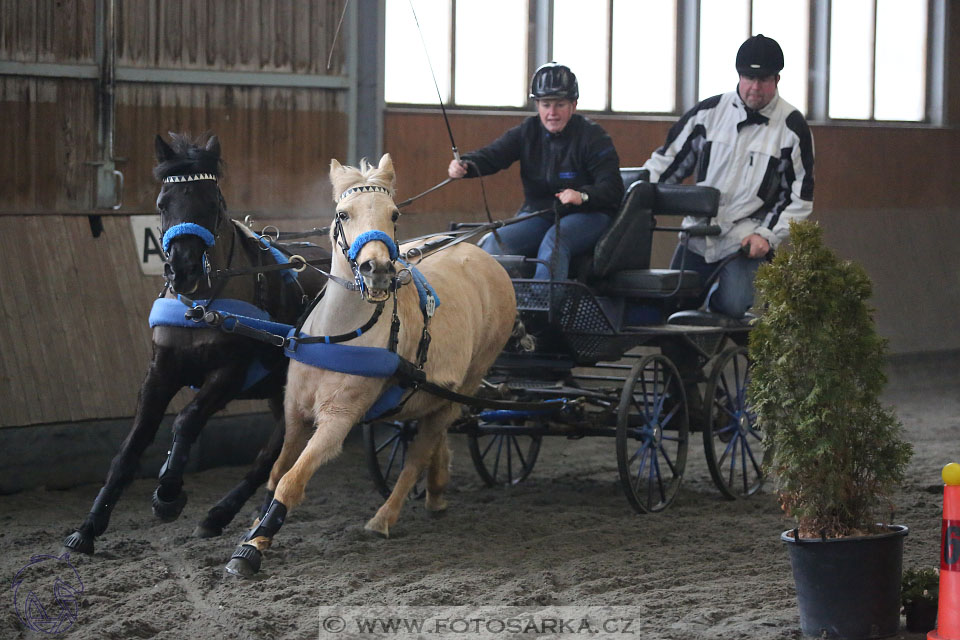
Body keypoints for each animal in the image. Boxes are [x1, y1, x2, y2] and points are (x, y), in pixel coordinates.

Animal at [63, 132, 328, 552]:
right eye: (162, 203)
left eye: (212, 203)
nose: (182, 268)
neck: (204, 303)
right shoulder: (160, 371)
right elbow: (132, 444)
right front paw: (89, 526)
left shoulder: (230, 373)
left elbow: (187, 420)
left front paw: (168, 493)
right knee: (280, 447)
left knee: (271, 455)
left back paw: (222, 514)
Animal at [224, 154, 516, 576]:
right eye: (343, 214)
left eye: (394, 214)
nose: (377, 270)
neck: (336, 336)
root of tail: (487, 259)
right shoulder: (295, 411)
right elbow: (277, 473)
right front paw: (255, 531)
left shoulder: (338, 418)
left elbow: (292, 480)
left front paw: (249, 551)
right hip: (433, 393)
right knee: (433, 440)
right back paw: (436, 491)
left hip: (464, 387)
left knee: (418, 453)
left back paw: (385, 517)